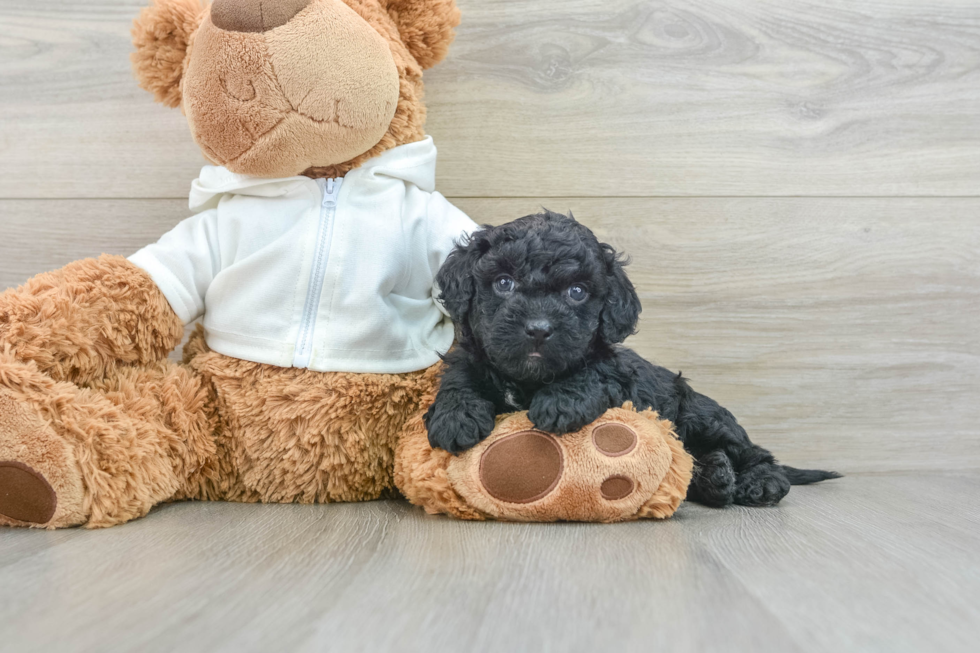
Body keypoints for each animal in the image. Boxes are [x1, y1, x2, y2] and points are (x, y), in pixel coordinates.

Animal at [424, 211, 840, 506]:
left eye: (577, 291)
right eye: (504, 283)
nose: (539, 328)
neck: (527, 379)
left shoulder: (617, 372)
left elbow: (595, 371)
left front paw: (559, 402)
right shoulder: (472, 358)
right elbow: (459, 380)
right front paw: (455, 418)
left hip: (702, 415)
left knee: (756, 453)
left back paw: (758, 483)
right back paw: (715, 477)